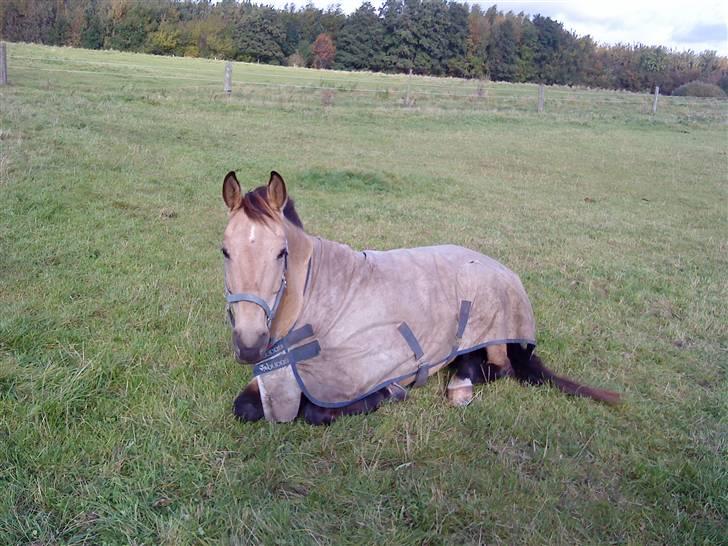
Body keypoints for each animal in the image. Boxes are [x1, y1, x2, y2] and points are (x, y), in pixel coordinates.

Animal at [223, 172, 620, 422]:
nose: (249, 345)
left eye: (281, 253)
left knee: (498, 366)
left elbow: (315, 412)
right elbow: (245, 407)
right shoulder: (273, 381)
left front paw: (388, 392)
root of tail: (500, 266)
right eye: (225, 250)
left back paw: (459, 388)